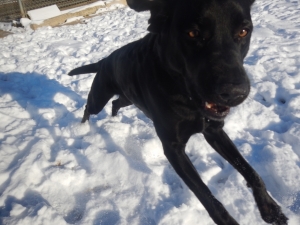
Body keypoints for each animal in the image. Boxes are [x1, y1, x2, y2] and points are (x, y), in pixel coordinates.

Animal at [68, 0, 288, 223]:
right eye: (193, 33)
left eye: (243, 31)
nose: (235, 93)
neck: (186, 97)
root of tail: (104, 60)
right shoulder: (173, 149)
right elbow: (207, 197)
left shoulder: (214, 131)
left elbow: (250, 170)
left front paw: (269, 206)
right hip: (100, 97)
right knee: (89, 107)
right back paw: (82, 128)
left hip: (128, 97)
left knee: (115, 104)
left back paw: (113, 119)